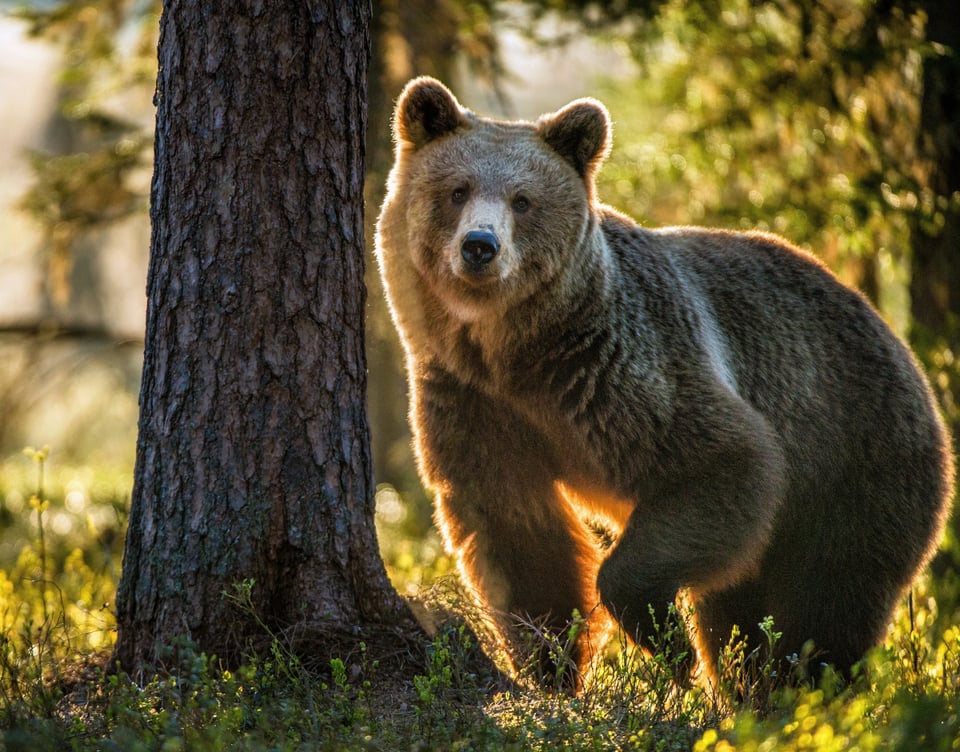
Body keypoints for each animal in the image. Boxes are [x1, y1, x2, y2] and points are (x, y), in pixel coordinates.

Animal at [374, 75, 955, 689]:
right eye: (457, 190)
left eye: (523, 200)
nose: (480, 246)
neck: (517, 352)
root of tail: (899, 342)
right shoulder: (473, 400)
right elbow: (517, 533)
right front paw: (553, 665)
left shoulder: (619, 370)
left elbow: (722, 460)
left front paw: (667, 647)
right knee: (742, 615)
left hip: (852, 460)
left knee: (824, 606)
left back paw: (800, 685)